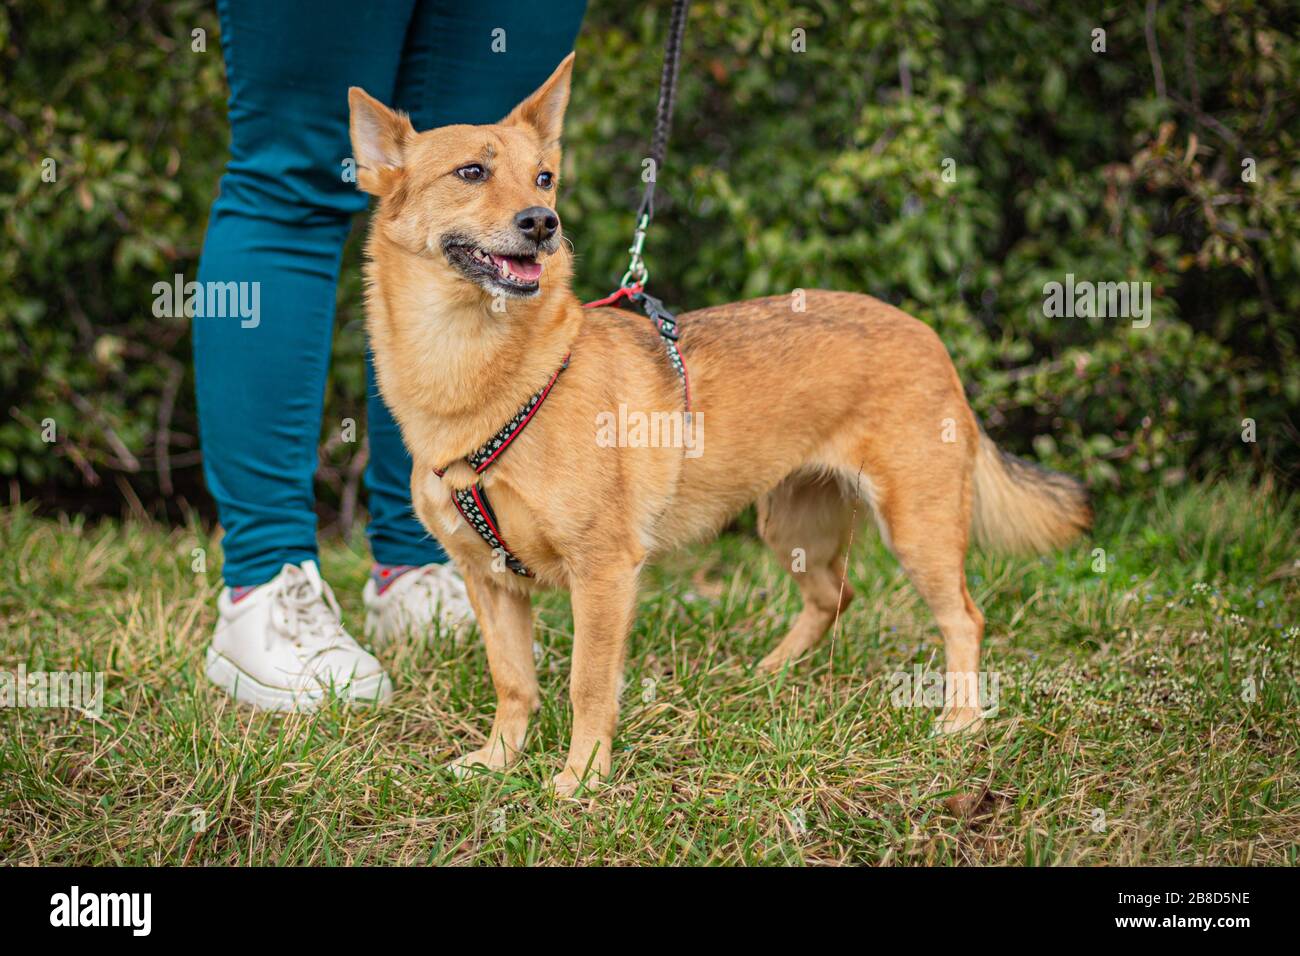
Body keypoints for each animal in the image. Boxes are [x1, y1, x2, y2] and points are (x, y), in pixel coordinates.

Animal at [345, 55, 1086, 796]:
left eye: (544, 177)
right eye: (471, 172)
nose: (543, 223)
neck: (486, 376)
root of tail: (928, 334)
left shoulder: (604, 573)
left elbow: (589, 685)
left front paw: (582, 779)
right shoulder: (490, 581)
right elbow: (513, 682)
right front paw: (499, 760)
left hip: (917, 529)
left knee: (963, 617)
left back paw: (960, 721)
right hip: (793, 527)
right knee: (834, 596)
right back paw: (772, 674)